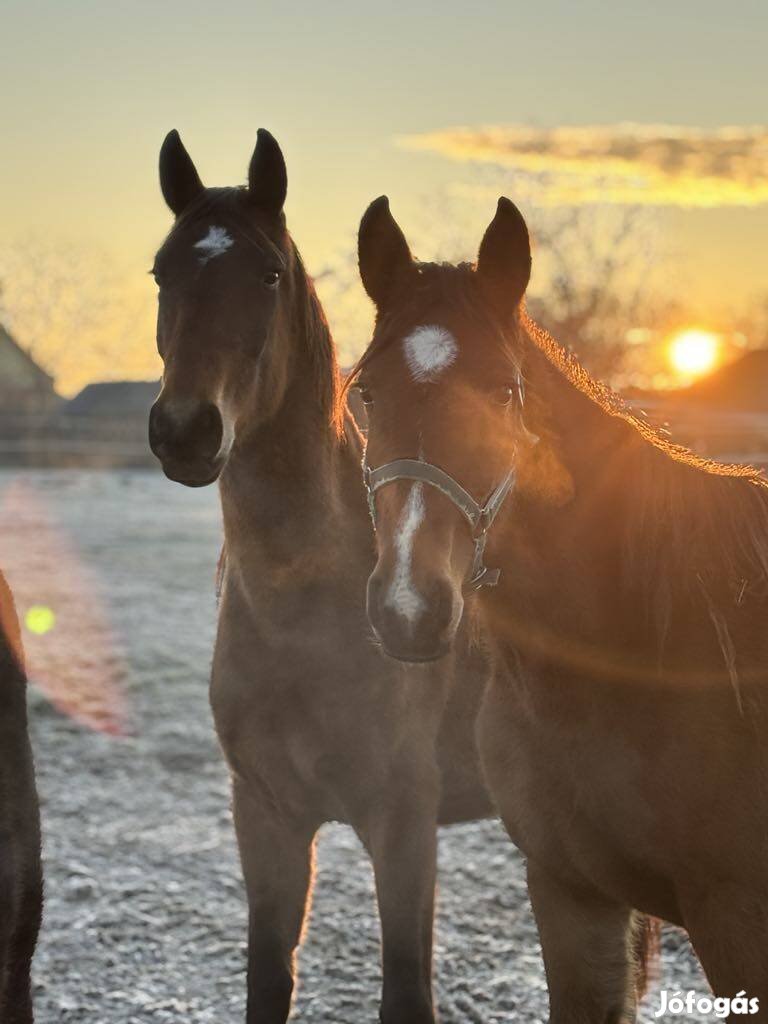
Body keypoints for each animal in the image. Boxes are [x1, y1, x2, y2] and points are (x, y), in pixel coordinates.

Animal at [148, 132, 493, 1019]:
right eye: (162, 270)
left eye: (269, 273)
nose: (185, 431)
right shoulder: (266, 815)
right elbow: (270, 976)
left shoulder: (403, 824)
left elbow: (406, 990)